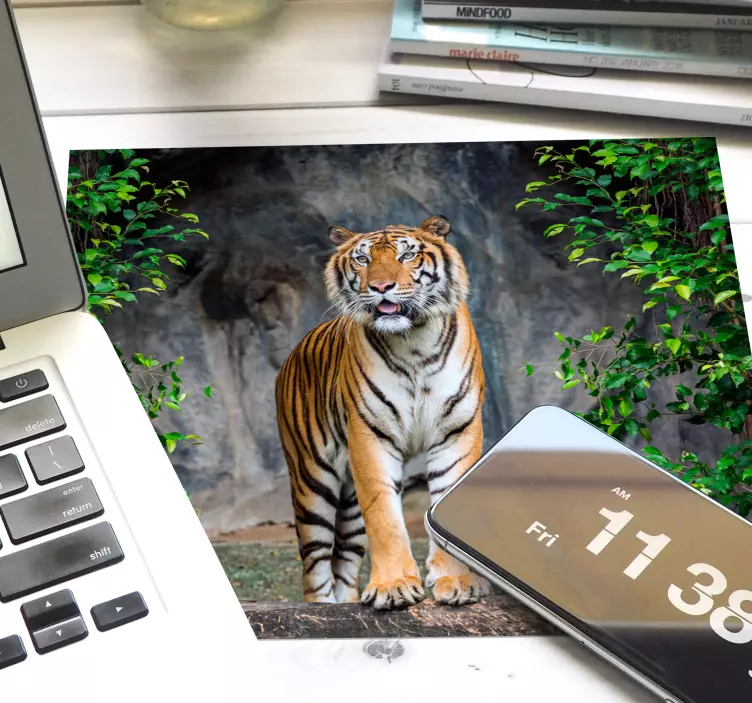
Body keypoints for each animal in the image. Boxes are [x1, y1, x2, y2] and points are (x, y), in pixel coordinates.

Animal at [274, 215, 492, 610]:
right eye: (362, 260)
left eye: (407, 255)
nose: (380, 287)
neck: (414, 342)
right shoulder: (370, 435)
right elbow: (384, 517)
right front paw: (393, 587)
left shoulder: (456, 431)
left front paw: (458, 582)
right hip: (311, 481)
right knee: (315, 567)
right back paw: (323, 609)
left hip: (348, 504)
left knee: (344, 564)